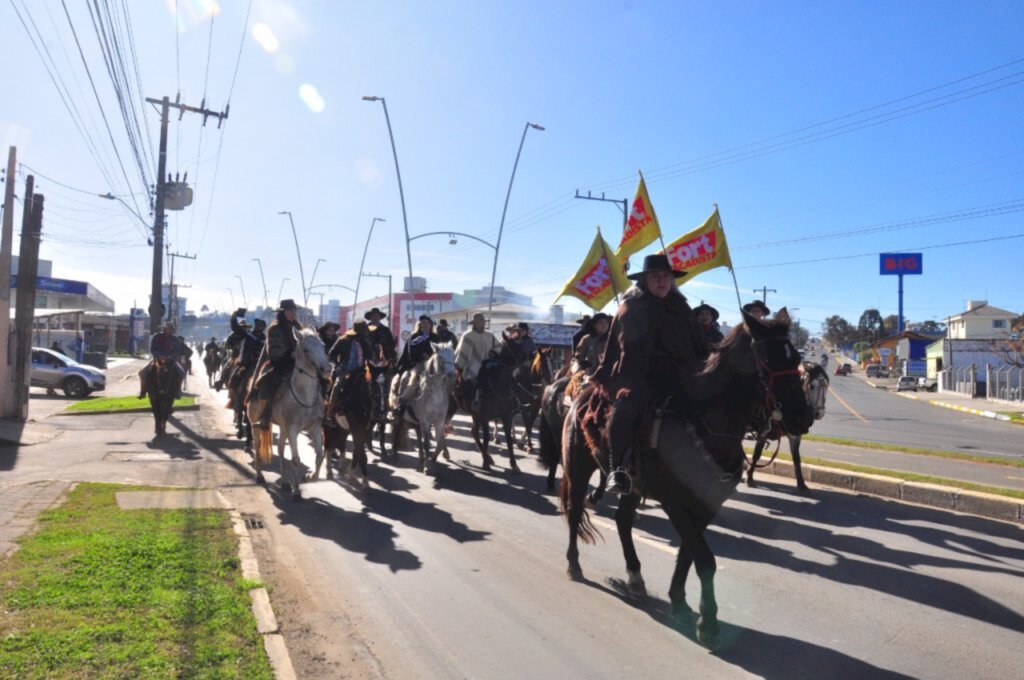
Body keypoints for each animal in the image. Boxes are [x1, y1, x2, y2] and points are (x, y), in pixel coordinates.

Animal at [244, 329, 331, 499]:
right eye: (306, 350)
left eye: (323, 345)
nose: (327, 368)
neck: (303, 394)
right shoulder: (293, 428)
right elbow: (296, 459)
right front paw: (297, 491)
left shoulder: (315, 427)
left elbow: (319, 456)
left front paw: (309, 477)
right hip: (256, 424)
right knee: (257, 446)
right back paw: (259, 475)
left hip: (283, 428)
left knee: (280, 450)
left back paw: (284, 483)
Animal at [561, 311, 815, 647]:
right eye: (765, 359)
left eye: (796, 357)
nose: (803, 417)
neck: (705, 423)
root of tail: (581, 395)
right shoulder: (674, 502)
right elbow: (704, 559)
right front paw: (708, 623)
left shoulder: (707, 505)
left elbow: (687, 554)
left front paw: (680, 602)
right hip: (577, 468)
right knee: (575, 511)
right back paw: (574, 564)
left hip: (633, 485)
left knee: (623, 521)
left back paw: (635, 578)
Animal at [749, 358, 827, 491]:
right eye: (812, 386)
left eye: (826, 387)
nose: (819, 414)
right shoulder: (763, 431)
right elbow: (756, 454)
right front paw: (749, 478)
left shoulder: (795, 435)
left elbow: (797, 458)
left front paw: (801, 484)